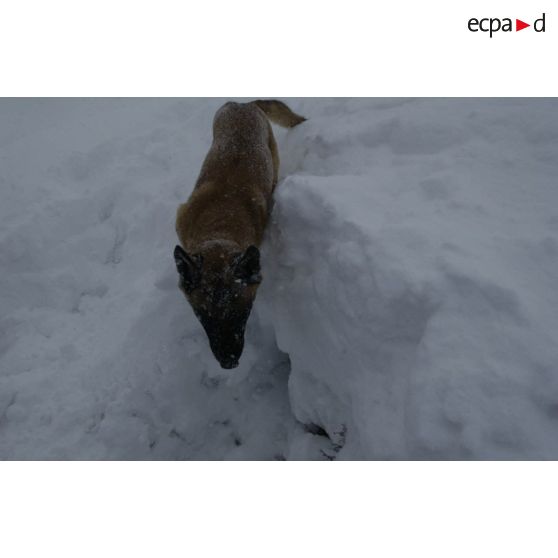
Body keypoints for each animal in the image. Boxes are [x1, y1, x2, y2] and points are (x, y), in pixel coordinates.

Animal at [174, 99, 306, 372]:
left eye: (244, 313)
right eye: (203, 317)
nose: (229, 363)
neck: (222, 221)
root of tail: (243, 103)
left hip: (272, 154)